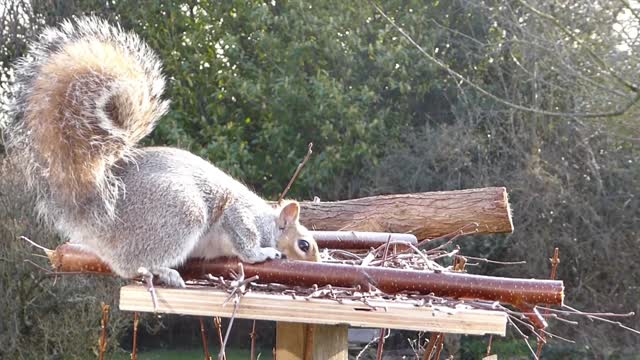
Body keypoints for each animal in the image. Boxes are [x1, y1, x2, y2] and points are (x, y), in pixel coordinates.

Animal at [0, 16, 320, 286]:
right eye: (304, 245)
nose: (316, 262)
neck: (269, 222)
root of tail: (94, 215)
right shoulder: (240, 215)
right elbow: (244, 239)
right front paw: (262, 253)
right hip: (180, 213)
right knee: (134, 264)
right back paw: (165, 271)